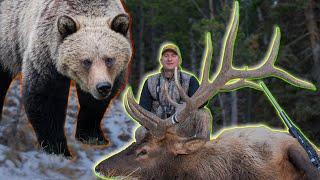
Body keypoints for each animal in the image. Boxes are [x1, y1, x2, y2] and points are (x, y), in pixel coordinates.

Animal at [0, 0, 132, 156]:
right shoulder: (46, 57)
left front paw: (93, 137)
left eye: (109, 59)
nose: (103, 87)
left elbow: (93, 105)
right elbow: (46, 100)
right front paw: (58, 148)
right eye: (86, 61)